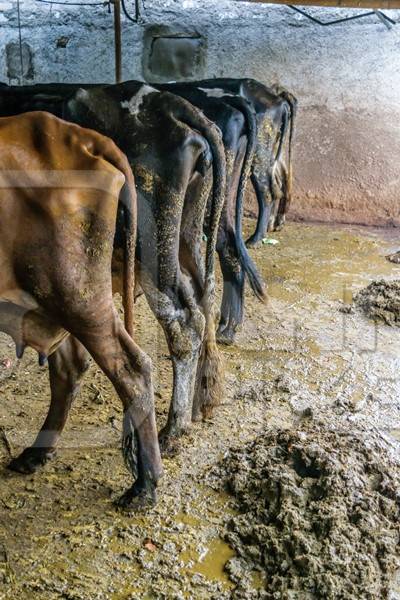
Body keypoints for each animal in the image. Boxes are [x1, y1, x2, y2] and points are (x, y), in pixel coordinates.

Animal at [0, 82, 225, 462]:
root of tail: (168, 102)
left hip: (152, 250)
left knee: (184, 323)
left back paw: (173, 429)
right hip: (187, 237)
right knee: (204, 294)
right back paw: (200, 405)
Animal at [0, 111, 162, 510]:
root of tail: (77, 136)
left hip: (79, 297)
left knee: (132, 369)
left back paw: (145, 485)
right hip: (59, 302)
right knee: (70, 366)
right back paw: (37, 453)